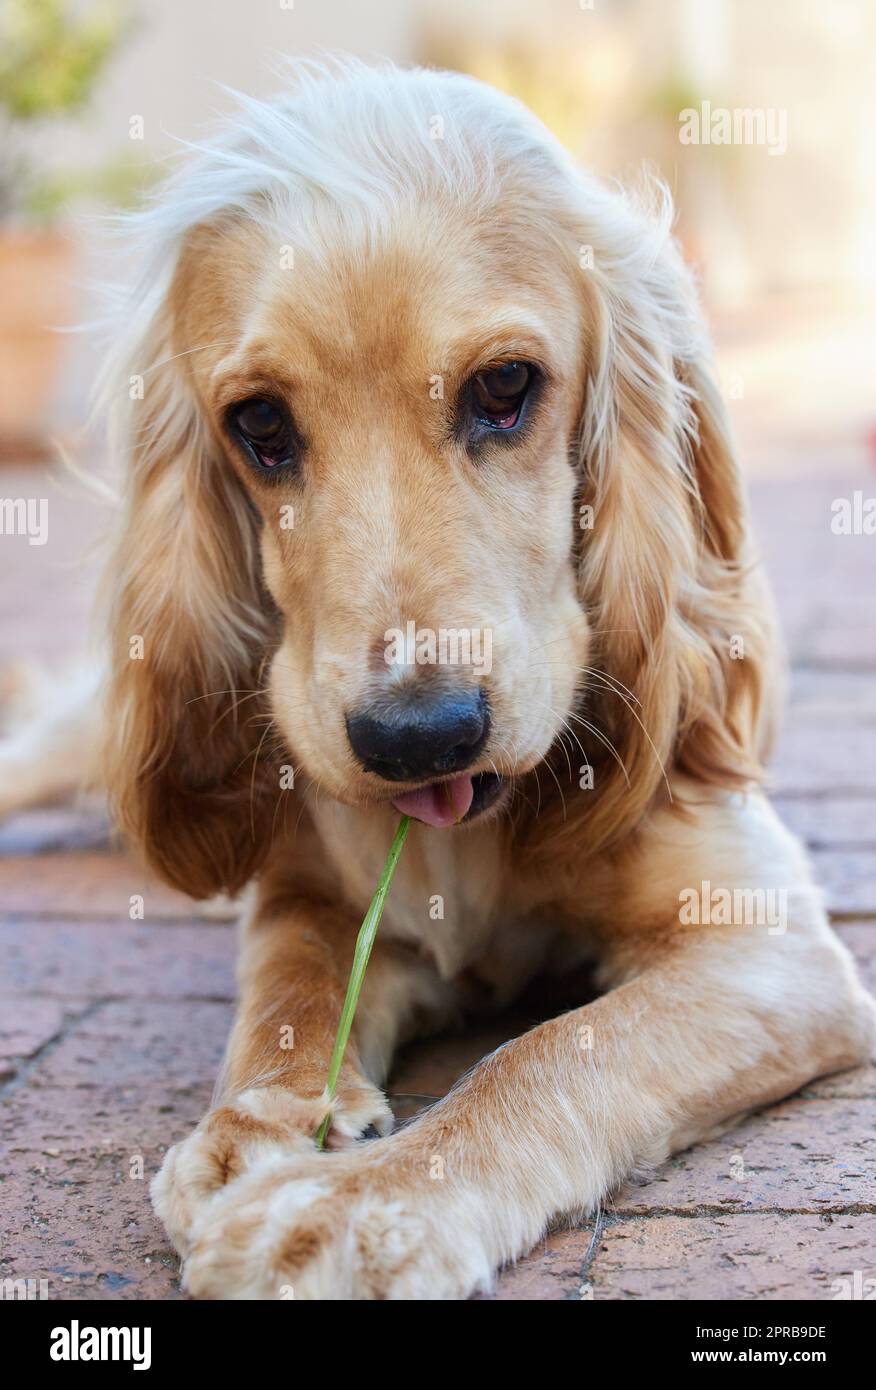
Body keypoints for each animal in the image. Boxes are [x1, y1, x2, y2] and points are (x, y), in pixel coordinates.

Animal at [23, 59, 876, 1295]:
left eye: (505, 387)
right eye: (260, 424)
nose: (419, 735)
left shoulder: (763, 944)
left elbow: (549, 1056)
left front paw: (340, 1211)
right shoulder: (311, 890)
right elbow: (288, 992)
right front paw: (257, 1125)